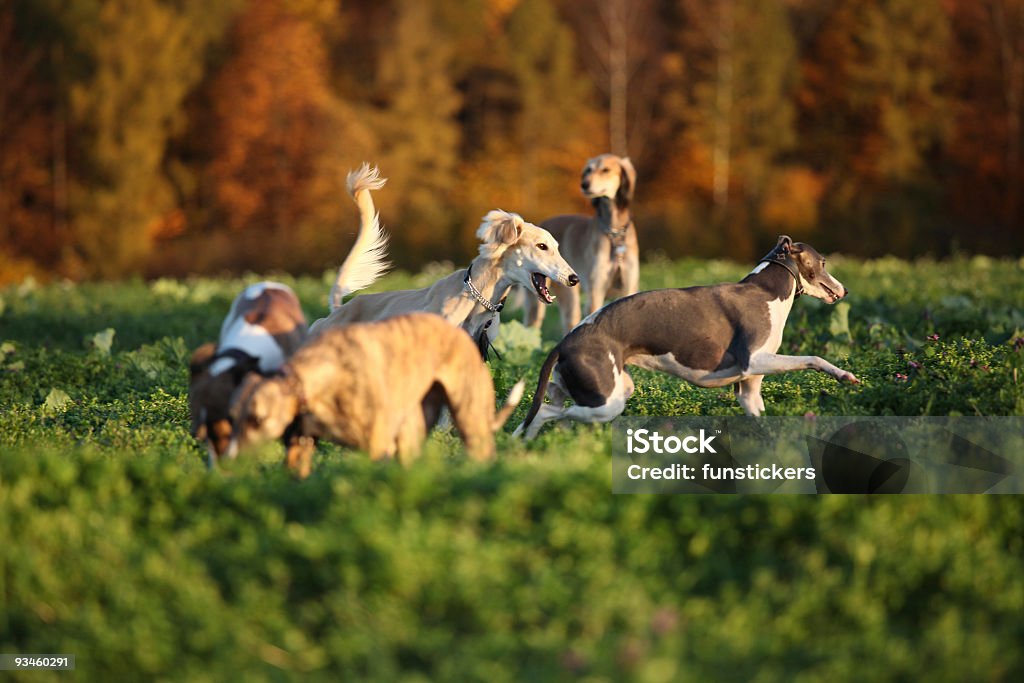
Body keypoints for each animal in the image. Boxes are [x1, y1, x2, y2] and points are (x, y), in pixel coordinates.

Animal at [227, 313, 524, 479]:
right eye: (232, 419)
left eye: (257, 419)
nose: (229, 464)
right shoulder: (300, 446)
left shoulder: (376, 449)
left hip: (469, 419)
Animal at [516, 235, 860, 438]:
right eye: (823, 262)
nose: (845, 290)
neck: (766, 290)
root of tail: (564, 343)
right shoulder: (755, 360)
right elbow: (813, 357)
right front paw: (844, 375)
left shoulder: (749, 390)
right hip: (606, 402)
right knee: (547, 412)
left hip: (603, 389)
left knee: (551, 410)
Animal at [524, 154, 634, 335]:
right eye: (588, 170)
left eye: (606, 170)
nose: (584, 184)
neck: (614, 231)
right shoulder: (596, 293)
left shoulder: (630, 288)